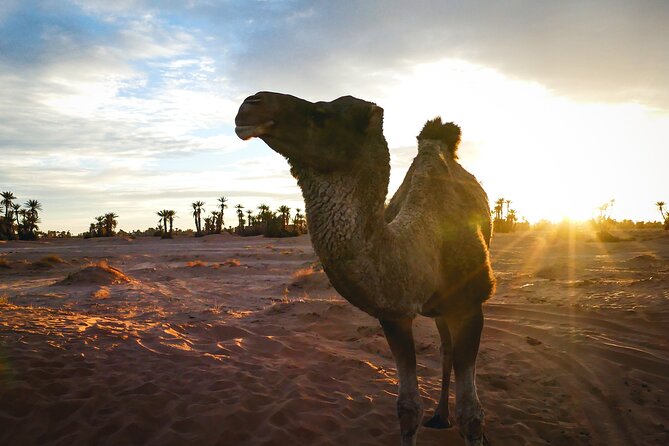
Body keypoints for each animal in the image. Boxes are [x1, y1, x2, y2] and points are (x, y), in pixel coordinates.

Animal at [235, 92, 490, 444]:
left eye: (320, 114)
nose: (250, 103)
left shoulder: (469, 304)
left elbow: (471, 414)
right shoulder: (394, 315)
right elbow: (408, 407)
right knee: (445, 348)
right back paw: (440, 416)